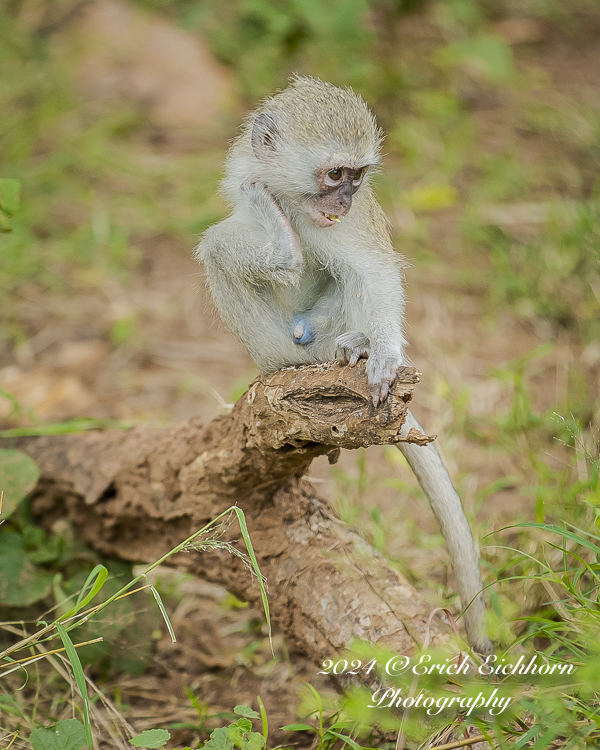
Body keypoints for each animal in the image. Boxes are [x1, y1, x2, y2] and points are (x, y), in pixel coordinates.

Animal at [195, 75, 490, 652]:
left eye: (357, 176)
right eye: (335, 174)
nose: (347, 197)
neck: (294, 200)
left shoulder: (350, 224)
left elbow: (374, 272)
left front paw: (386, 353)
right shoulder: (245, 176)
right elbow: (242, 226)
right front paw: (279, 243)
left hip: (322, 328)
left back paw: (353, 346)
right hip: (283, 340)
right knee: (219, 247)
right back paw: (281, 354)